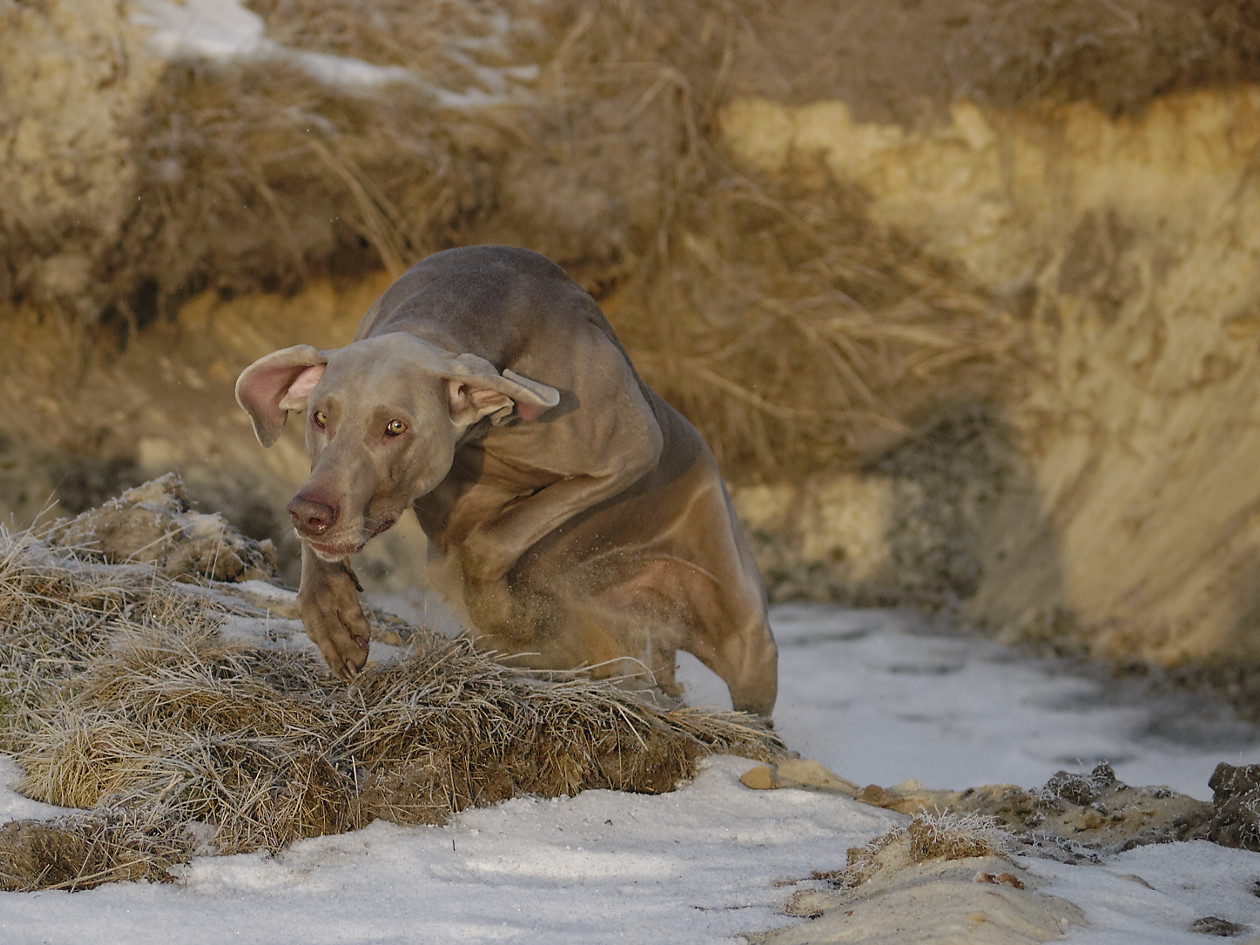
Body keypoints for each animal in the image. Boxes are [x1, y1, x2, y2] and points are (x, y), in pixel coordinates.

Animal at [231, 248, 771, 715]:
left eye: (395, 427)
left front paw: (511, 618)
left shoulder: (632, 450)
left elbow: (494, 542)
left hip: (742, 625)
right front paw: (334, 618)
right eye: (320, 417)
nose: (309, 515)